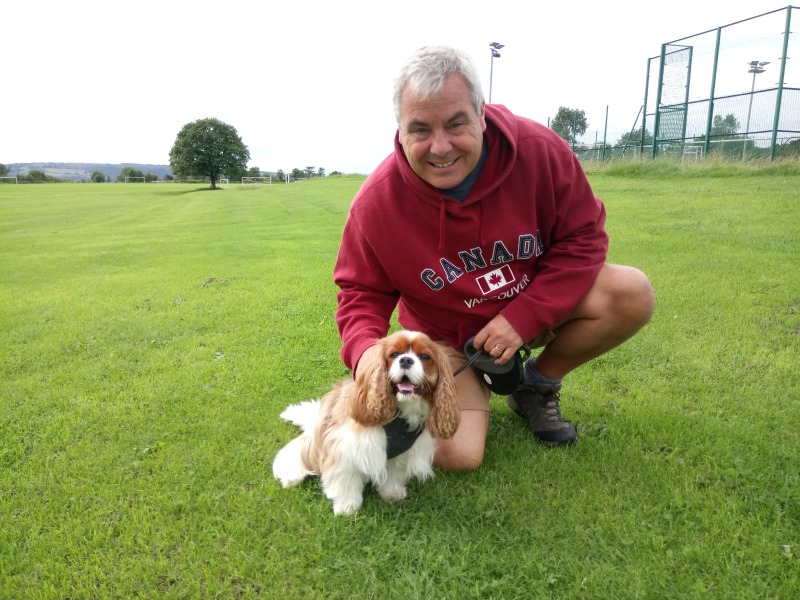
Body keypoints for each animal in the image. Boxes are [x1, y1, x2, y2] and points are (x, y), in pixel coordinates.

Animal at [272, 330, 459, 515]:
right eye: (394, 354)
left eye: (425, 356)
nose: (406, 360)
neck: (400, 415)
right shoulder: (345, 448)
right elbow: (346, 480)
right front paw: (347, 506)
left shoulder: (400, 454)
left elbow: (393, 473)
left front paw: (392, 492)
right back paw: (291, 475)